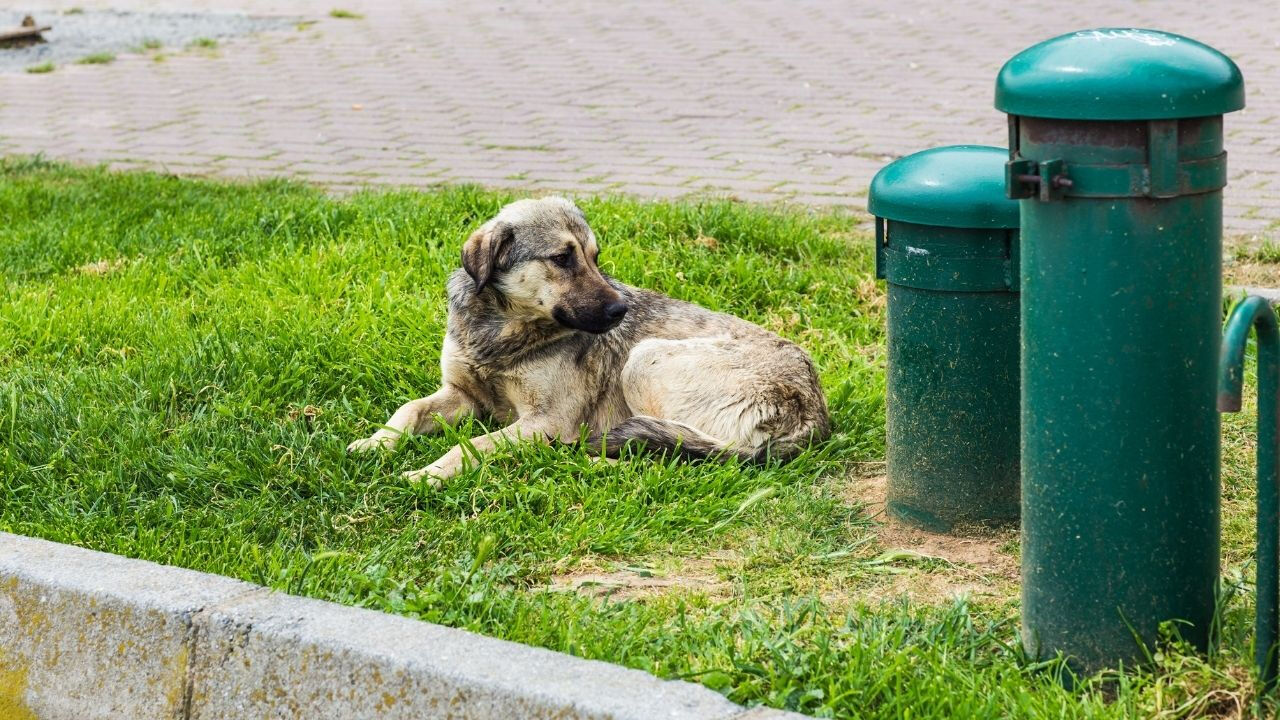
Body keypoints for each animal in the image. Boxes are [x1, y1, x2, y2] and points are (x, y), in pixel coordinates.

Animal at [348, 196, 829, 481]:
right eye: (563, 258)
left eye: (595, 258)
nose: (621, 311)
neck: (502, 330)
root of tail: (813, 416)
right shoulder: (463, 394)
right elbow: (407, 410)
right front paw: (375, 444)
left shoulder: (544, 422)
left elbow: (472, 445)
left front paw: (427, 473)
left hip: (646, 359)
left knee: (676, 455)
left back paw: (590, 459)